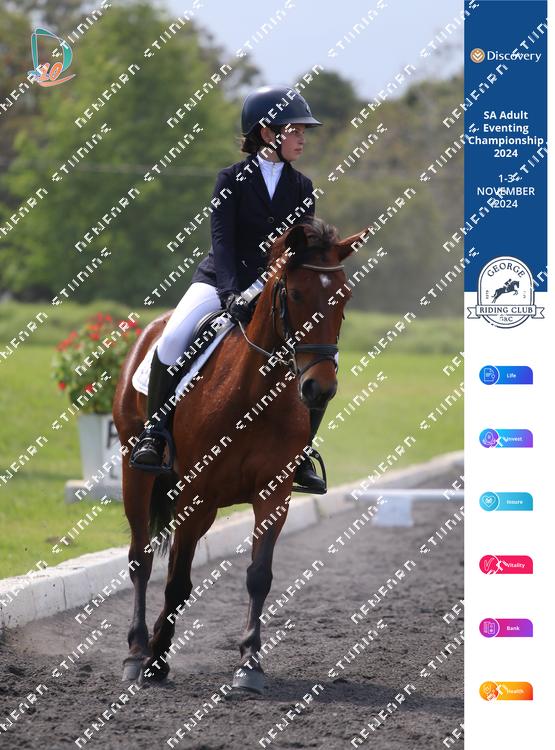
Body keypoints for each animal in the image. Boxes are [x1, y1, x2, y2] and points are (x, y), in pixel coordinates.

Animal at [112, 218, 366, 692]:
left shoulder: (273, 494)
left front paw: (250, 663)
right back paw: (137, 652)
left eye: (343, 298)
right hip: (136, 472)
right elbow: (177, 582)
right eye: (295, 294)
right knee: (141, 558)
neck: (254, 393)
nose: (319, 389)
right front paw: (155, 658)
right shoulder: (196, 493)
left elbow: (258, 576)